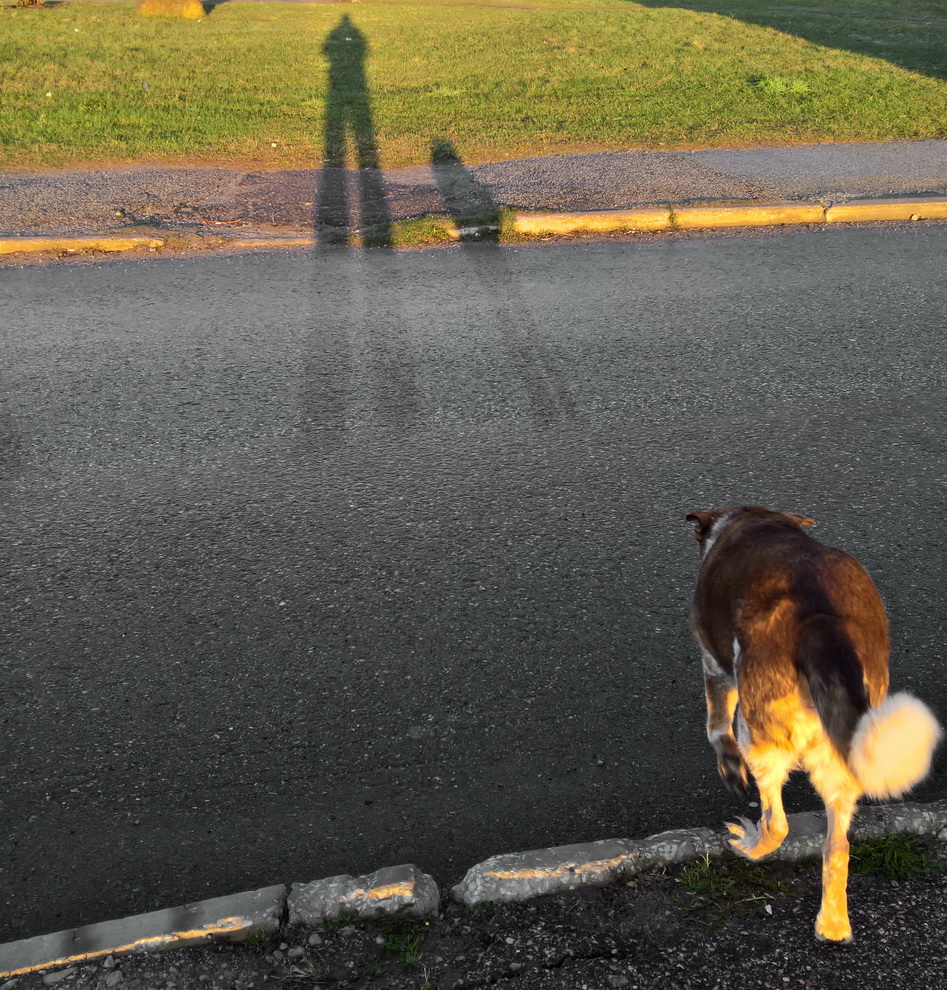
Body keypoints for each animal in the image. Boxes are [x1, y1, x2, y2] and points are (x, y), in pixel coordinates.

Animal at [688, 508, 940, 940]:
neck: (751, 519)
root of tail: (822, 624)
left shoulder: (714, 667)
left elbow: (716, 725)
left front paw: (729, 767)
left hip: (760, 734)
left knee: (777, 824)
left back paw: (748, 844)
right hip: (845, 747)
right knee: (837, 848)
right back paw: (833, 923)